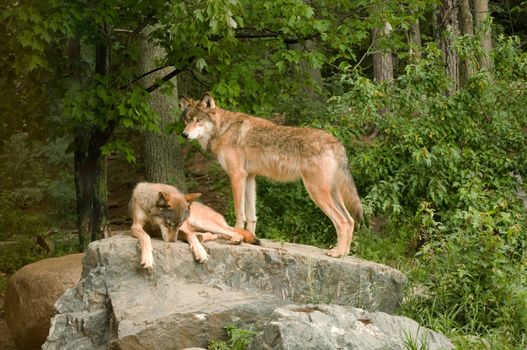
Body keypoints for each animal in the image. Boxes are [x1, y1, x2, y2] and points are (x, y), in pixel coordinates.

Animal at [130, 182, 258, 266]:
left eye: (179, 224)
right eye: (168, 223)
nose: (173, 241)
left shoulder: (181, 229)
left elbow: (190, 235)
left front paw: (200, 251)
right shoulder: (135, 226)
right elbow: (146, 237)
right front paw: (148, 259)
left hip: (202, 223)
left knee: (233, 232)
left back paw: (235, 240)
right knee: (214, 234)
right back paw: (202, 236)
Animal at [180, 93, 364, 258]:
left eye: (198, 120)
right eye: (186, 120)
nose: (184, 134)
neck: (223, 129)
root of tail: (336, 142)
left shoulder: (237, 176)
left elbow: (240, 214)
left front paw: (236, 237)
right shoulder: (249, 177)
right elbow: (251, 216)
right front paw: (250, 239)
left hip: (316, 192)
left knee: (342, 221)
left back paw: (337, 253)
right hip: (331, 194)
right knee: (350, 221)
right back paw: (344, 253)